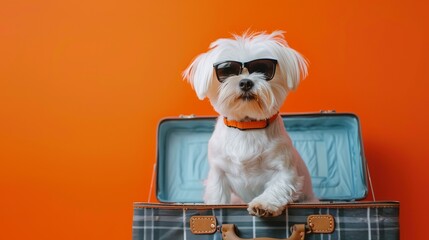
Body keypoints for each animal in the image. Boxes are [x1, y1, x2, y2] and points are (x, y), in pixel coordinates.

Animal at [182, 31, 316, 217]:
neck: (247, 127)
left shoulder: (285, 169)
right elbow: (217, 194)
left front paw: (263, 204)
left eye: (262, 69)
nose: (246, 82)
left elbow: (278, 186)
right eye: (227, 71)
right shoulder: (218, 172)